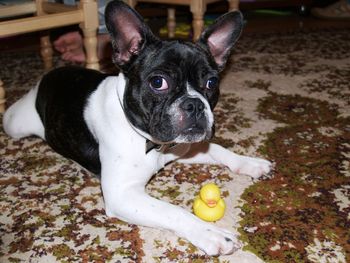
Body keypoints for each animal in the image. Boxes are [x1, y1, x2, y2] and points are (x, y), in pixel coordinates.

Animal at [2, 0, 270, 256]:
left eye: (212, 82)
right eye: (158, 82)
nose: (194, 104)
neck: (151, 142)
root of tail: (47, 77)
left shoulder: (184, 147)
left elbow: (217, 149)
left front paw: (251, 163)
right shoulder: (122, 194)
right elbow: (171, 211)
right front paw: (211, 233)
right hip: (15, 123)